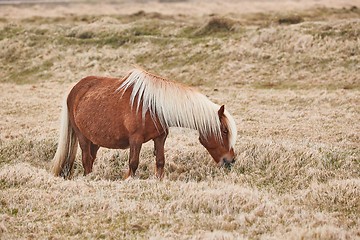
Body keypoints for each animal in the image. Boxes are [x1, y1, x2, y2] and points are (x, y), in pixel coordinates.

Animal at [50, 67, 236, 178]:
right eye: (225, 131)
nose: (231, 160)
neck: (153, 106)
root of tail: (75, 89)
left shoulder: (160, 138)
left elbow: (160, 162)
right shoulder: (135, 139)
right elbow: (133, 164)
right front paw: (127, 180)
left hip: (94, 140)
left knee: (91, 158)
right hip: (82, 137)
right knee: (86, 159)